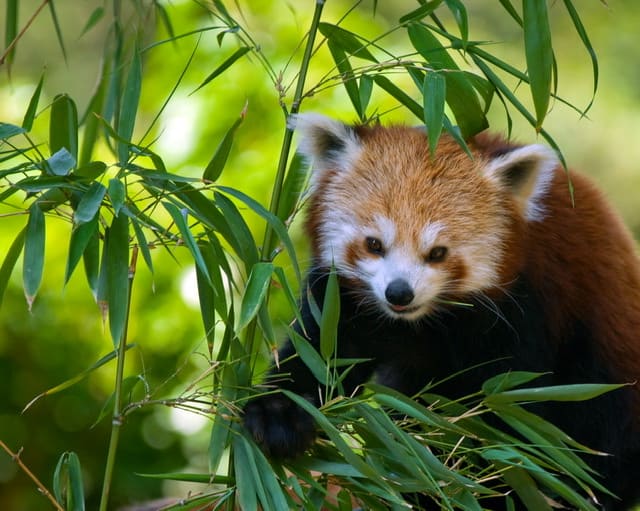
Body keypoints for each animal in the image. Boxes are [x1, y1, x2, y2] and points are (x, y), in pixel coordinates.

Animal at [244, 114, 640, 510]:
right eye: (374, 244)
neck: (418, 323)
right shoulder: (341, 301)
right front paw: (277, 416)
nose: (399, 292)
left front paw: (470, 479)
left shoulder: (522, 311)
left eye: (437, 253)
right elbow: (321, 356)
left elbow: (506, 412)